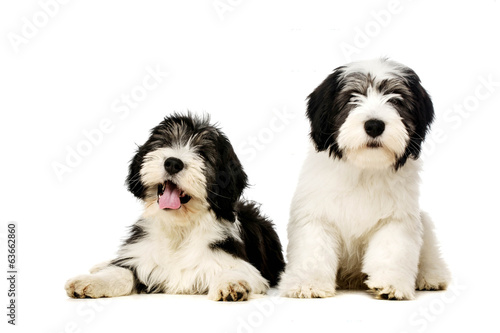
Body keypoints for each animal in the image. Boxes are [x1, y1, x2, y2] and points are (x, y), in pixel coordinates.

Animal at [66, 112, 284, 300]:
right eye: (164, 143)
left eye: (203, 153)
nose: (172, 163)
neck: (179, 227)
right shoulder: (141, 257)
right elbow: (121, 272)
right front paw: (91, 282)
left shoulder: (239, 263)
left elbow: (236, 270)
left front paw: (231, 283)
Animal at [280, 58, 452, 300]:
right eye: (353, 97)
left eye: (396, 99)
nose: (374, 125)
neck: (364, 169)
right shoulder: (316, 216)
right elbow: (314, 251)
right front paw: (308, 284)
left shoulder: (395, 219)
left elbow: (391, 251)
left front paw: (390, 284)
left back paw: (431, 276)